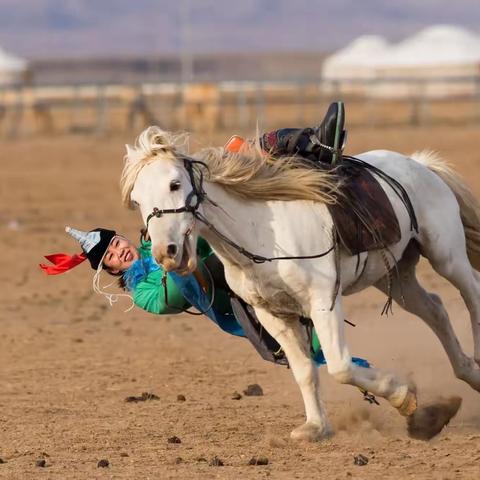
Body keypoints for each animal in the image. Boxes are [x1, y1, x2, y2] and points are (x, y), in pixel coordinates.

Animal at [121, 127, 480, 442]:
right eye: (137, 200)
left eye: (174, 183)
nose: (166, 253)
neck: (261, 235)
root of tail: (419, 164)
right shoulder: (273, 314)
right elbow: (305, 370)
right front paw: (316, 426)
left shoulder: (323, 301)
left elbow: (340, 366)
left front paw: (401, 394)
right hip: (395, 277)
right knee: (435, 309)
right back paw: (467, 371)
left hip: (447, 257)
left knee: (471, 294)